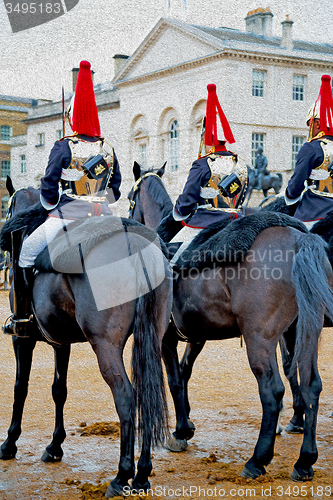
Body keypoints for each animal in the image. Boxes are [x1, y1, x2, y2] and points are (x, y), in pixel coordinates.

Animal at [0, 179, 171, 496]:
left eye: (8, 207)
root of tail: (136, 243)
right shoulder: (61, 342)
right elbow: (59, 390)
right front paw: (54, 446)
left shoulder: (22, 340)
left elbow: (20, 388)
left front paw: (9, 442)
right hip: (151, 341)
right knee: (145, 393)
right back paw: (142, 474)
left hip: (105, 347)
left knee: (126, 395)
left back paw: (122, 475)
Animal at [127, 163, 333, 480]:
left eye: (130, 198)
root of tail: (301, 239)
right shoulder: (196, 334)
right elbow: (185, 373)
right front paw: (187, 424)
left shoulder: (166, 337)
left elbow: (174, 379)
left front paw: (181, 431)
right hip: (303, 331)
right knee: (311, 384)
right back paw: (304, 461)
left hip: (260, 338)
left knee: (272, 391)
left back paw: (258, 459)